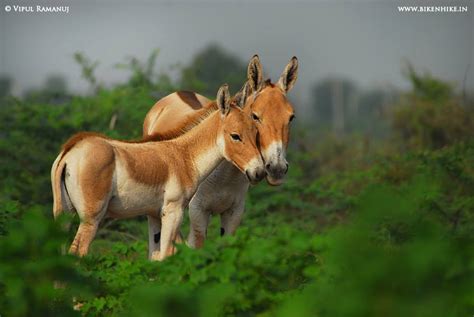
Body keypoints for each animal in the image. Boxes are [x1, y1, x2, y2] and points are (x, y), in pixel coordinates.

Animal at [53, 84, 266, 260]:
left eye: (256, 132)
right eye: (235, 136)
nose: (259, 172)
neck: (184, 156)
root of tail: (70, 151)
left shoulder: (154, 214)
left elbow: (155, 257)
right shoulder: (173, 211)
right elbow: (166, 255)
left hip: (66, 215)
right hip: (91, 219)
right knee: (77, 254)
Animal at [143, 55, 298, 251]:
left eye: (291, 117)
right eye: (255, 116)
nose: (277, 169)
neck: (226, 175)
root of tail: (179, 93)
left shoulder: (233, 214)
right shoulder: (198, 212)